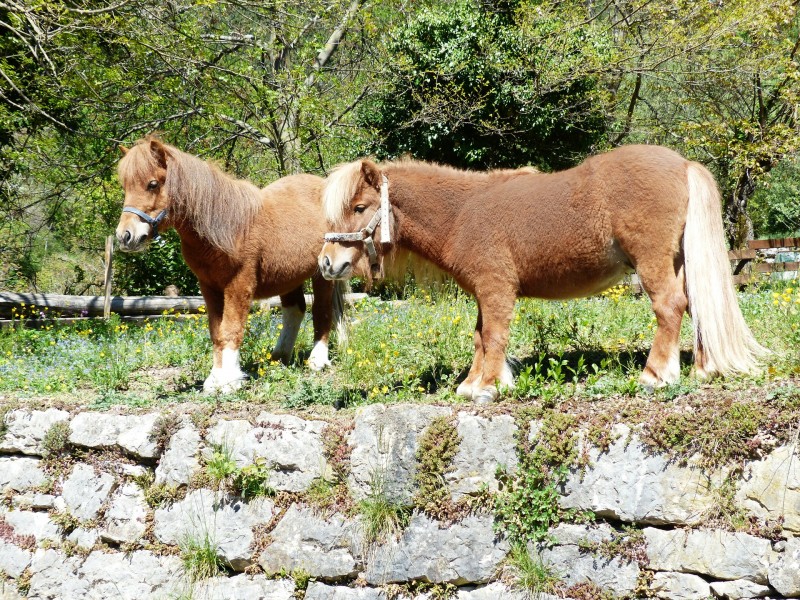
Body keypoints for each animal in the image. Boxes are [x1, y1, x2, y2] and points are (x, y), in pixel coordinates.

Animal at [116, 138, 344, 396]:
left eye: (152, 184)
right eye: (125, 186)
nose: (125, 236)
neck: (225, 225)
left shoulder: (239, 285)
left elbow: (232, 329)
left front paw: (230, 380)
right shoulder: (209, 287)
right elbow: (217, 332)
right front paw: (215, 379)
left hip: (322, 274)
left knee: (321, 311)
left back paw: (317, 361)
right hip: (288, 277)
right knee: (295, 310)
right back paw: (278, 357)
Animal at [318, 144, 768, 404]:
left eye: (359, 207)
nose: (326, 263)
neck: (462, 214)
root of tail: (683, 164)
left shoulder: (496, 289)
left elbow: (495, 335)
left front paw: (487, 386)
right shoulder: (484, 291)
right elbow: (481, 336)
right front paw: (474, 382)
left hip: (653, 262)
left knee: (670, 306)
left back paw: (656, 375)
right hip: (679, 262)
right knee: (697, 307)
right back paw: (703, 368)